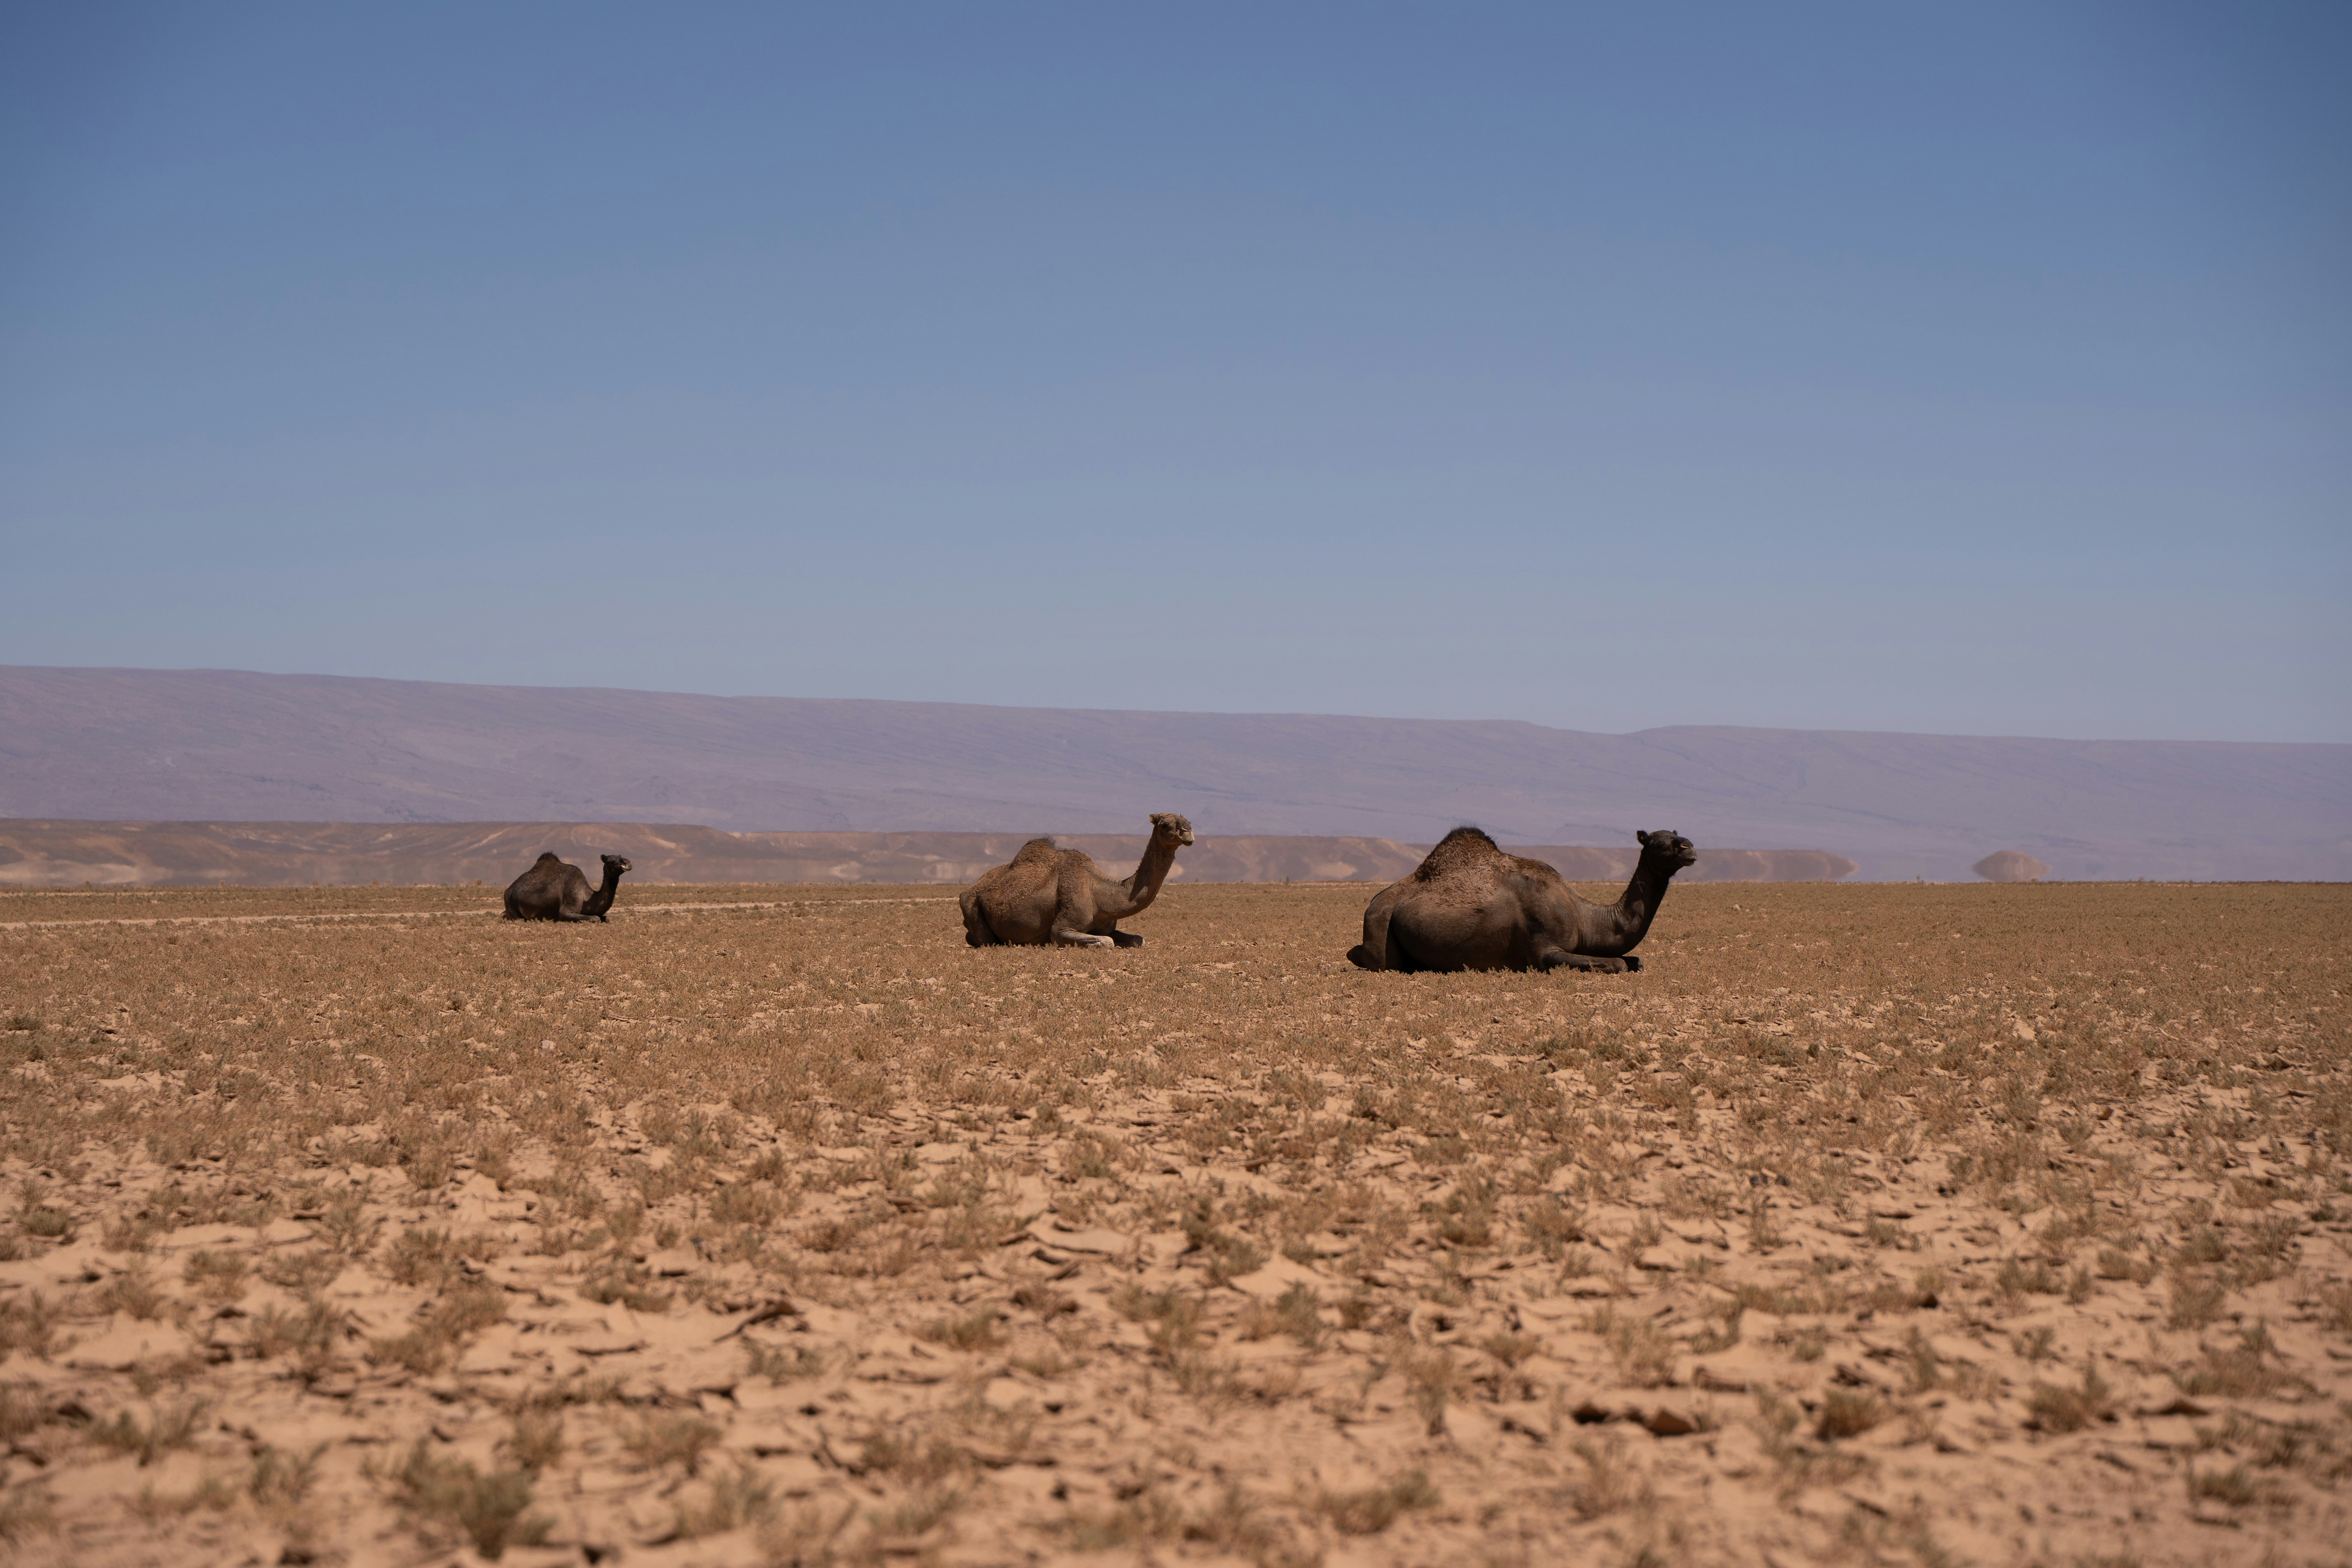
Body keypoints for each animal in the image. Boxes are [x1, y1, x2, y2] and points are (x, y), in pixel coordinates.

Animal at [503, 852, 631, 922]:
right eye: (610, 861)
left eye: (620, 856)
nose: (627, 862)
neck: (586, 897)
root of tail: (509, 890)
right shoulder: (566, 910)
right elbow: (595, 918)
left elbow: (606, 918)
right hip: (510, 905)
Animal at [961, 814, 1194, 948]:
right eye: (1165, 825)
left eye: (1189, 822)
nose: (1188, 833)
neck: (1099, 893)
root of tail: (972, 887)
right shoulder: (1062, 929)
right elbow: (1107, 943)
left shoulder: (1106, 926)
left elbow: (1138, 939)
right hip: (971, 904)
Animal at [1346, 826, 1696, 974]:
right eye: (1658, 843)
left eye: (1676, 836)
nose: (1689, 848)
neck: (1584, 916)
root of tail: (1373, 904)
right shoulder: (1544, 951)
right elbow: (1618, 964)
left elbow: (1634, 961)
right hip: (1381, 927)